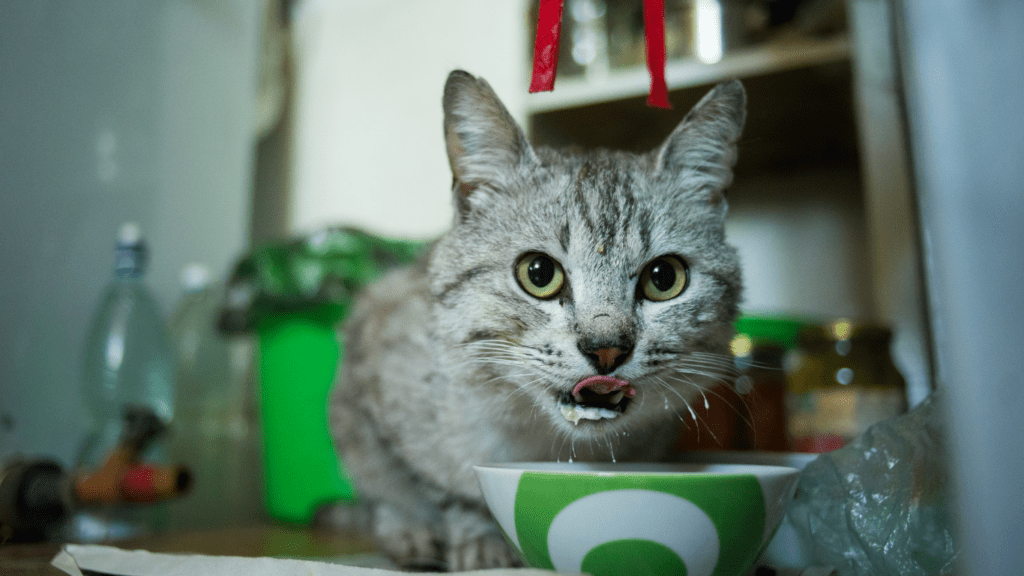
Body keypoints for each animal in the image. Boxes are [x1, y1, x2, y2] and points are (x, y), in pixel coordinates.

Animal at [327, 70, 745, 569]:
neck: (551, 443)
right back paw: (408, 534)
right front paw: (478, 540)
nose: (607, 348)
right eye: (539, 273)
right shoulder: (378, 375)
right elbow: (437, 487)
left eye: (664, 278)